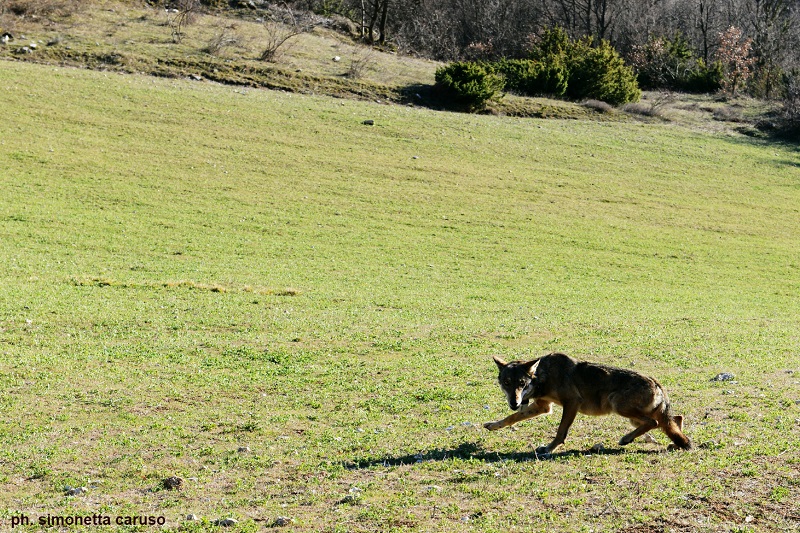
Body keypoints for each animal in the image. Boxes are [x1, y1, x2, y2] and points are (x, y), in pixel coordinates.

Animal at [484, 353, 692, 454]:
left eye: (521, 383)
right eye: (506, 383)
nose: (515, 401)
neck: (543, 376)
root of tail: (656, 382)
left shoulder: (572, 403)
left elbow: (561, 432)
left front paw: (549, 448)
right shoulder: (543, 407)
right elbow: (511, 417)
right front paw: (493, 425)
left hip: (618, 405)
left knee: (656, 422)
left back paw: (626, 439)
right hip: (637, 417)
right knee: (675, 420)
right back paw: (674, 445)